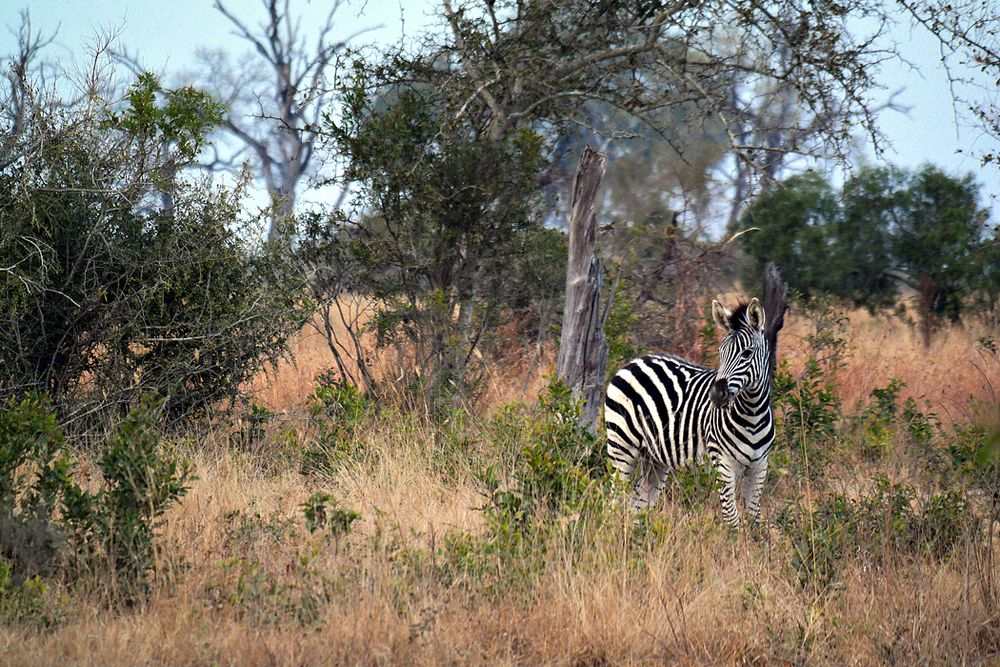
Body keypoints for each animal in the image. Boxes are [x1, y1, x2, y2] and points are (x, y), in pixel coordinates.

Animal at [604, 298, 776, 528]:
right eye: (721, 351)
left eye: (746, 353)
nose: (716, 394)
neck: (752, 415)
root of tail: (634, 362)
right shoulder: (723, 463)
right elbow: (731, 518)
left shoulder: (759, 467)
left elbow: (754, 519)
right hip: (621, 446)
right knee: (615, 500)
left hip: (654, 457)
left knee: (638, 503)